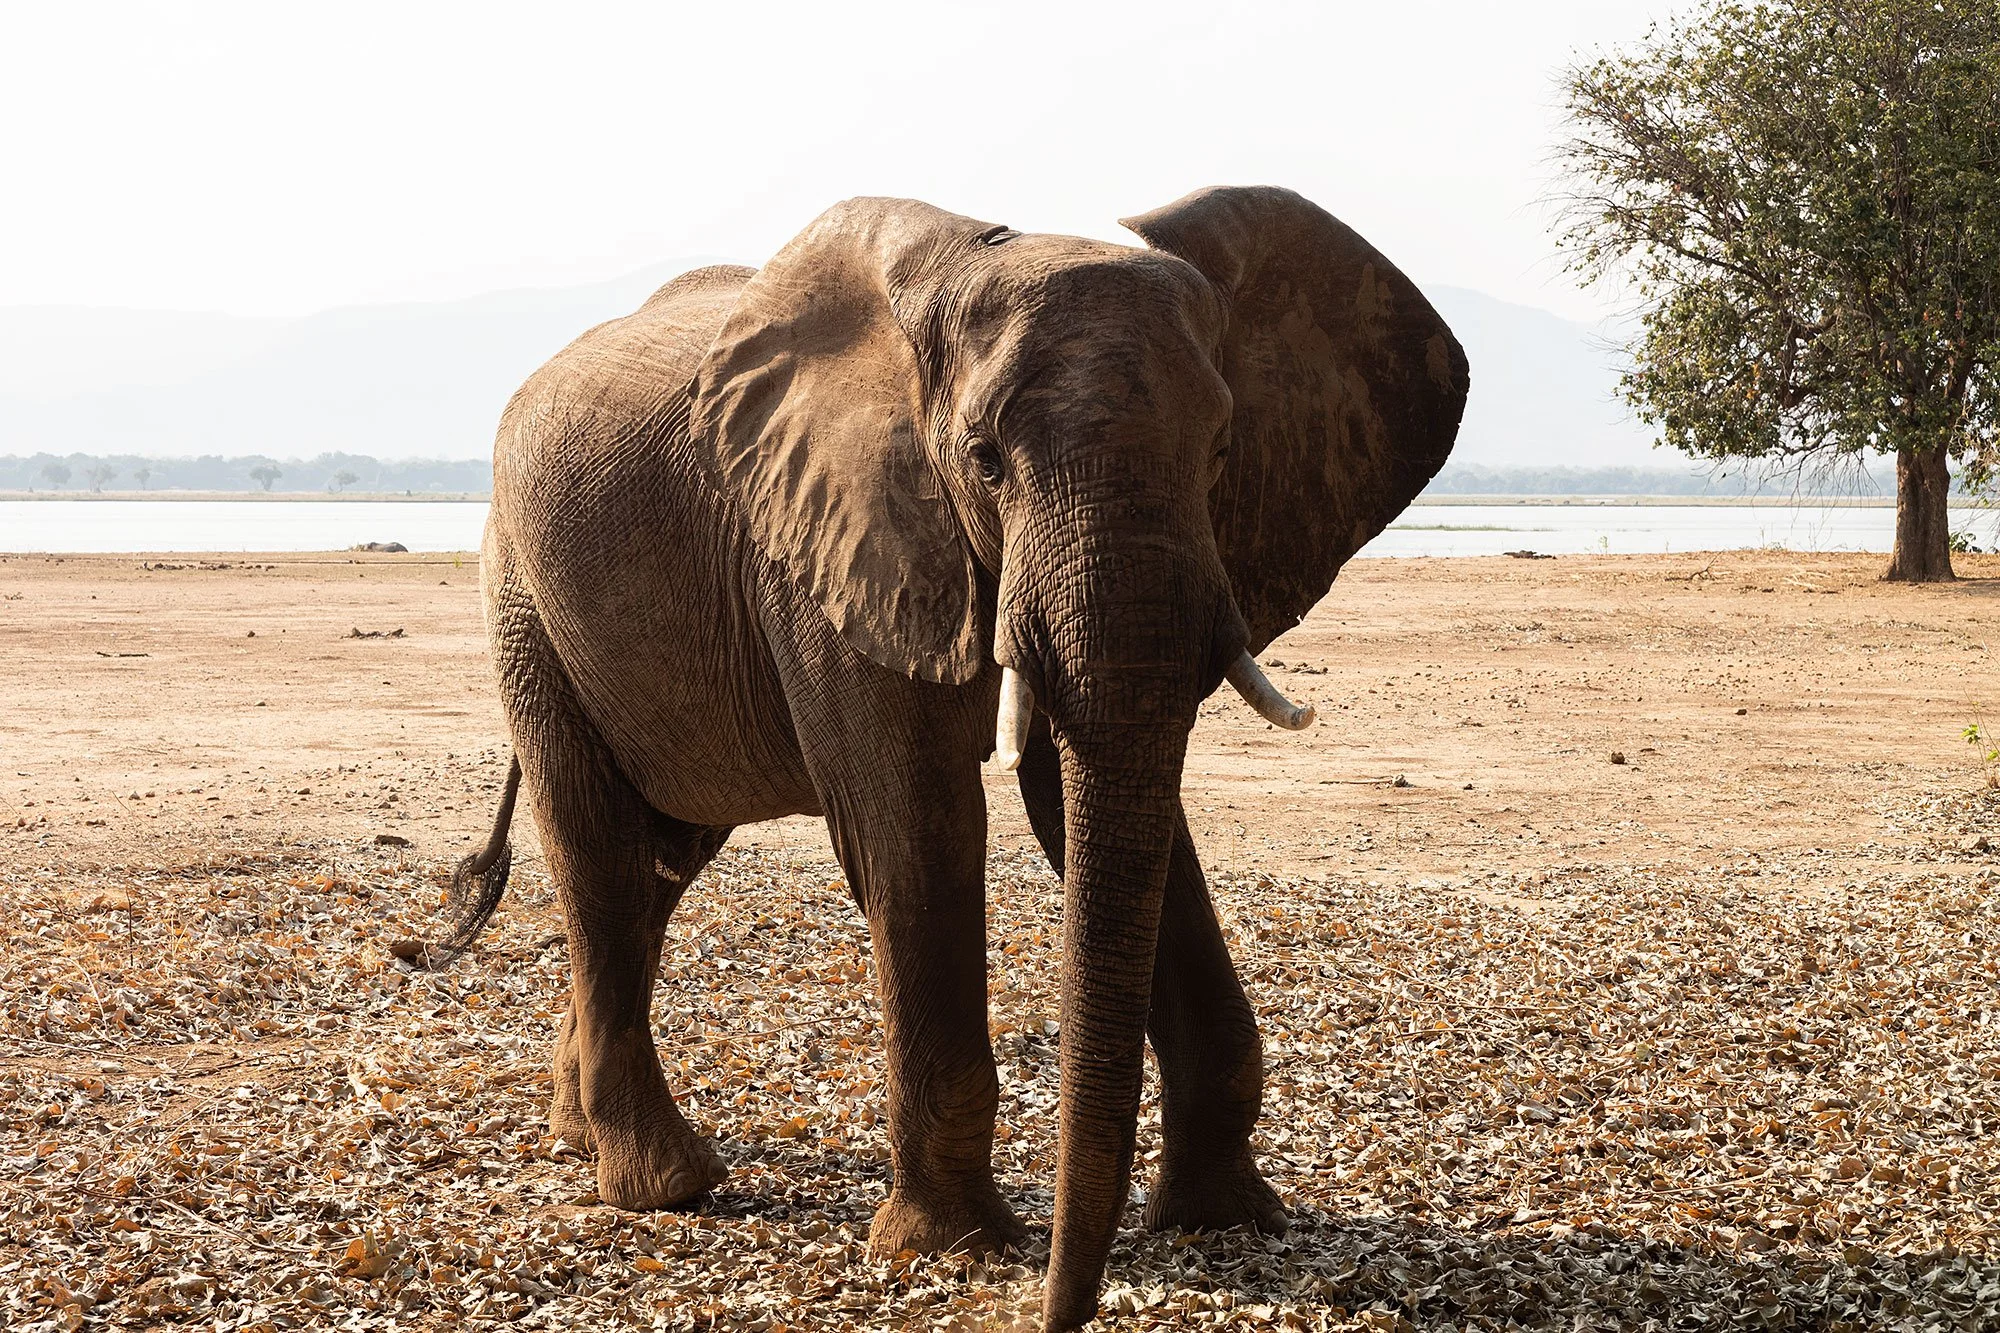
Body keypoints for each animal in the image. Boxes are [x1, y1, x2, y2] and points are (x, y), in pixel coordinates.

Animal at [441, 185, 1468, 1329]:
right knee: (603, 860)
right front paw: (955, 1251)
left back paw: (578, 1132)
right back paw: (666, 1185)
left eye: (1216, 457)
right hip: (520, 598)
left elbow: (1085, 801)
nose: (1063, 1310)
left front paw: (1224, 1219)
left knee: (661, 865)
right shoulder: (827, 538)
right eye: (983, 459)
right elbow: (916, 824)